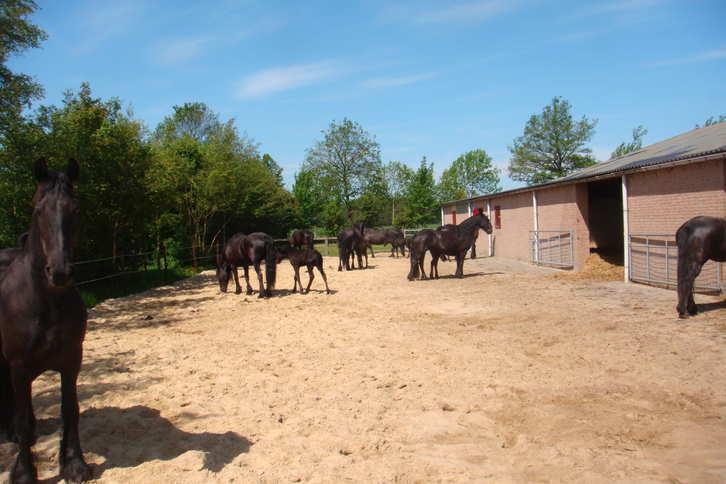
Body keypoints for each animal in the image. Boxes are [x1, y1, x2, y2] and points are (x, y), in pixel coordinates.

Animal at [0, 158, 92, 483]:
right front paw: (24, 472)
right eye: (39, 209)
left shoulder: (72, 358)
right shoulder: (18, 365)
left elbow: (70, 410)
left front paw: (74, 463)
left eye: (76, 209)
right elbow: (24, 420)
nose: (60, 272)